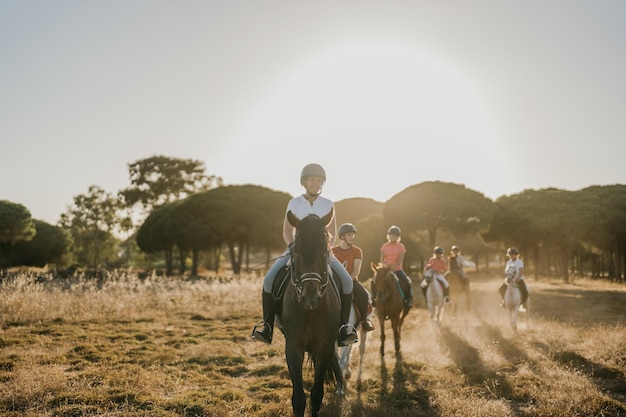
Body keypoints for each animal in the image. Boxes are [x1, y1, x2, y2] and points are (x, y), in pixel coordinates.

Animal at [276, 210, 344, 416]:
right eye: (296, 250)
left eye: (324, 250)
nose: (310, 297)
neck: (311, 312)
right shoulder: (293, 348)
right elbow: (298, 398)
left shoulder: (325, 348)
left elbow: (317, 394)